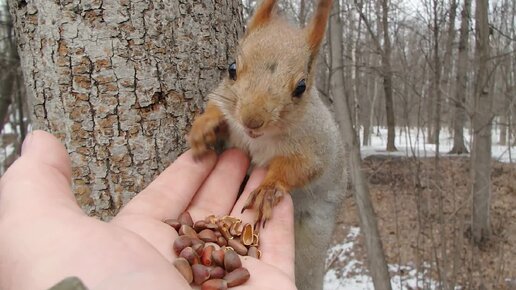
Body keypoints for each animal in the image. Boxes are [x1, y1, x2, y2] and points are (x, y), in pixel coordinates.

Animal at [187, 0, 344, 288]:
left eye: (301, 87)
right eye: (232, 68)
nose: (252, 120)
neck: (258, 139)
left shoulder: (316, 147)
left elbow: (300, 167)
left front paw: (267, 190)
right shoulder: (226, 103)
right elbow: (217, 107)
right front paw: (205, 127)